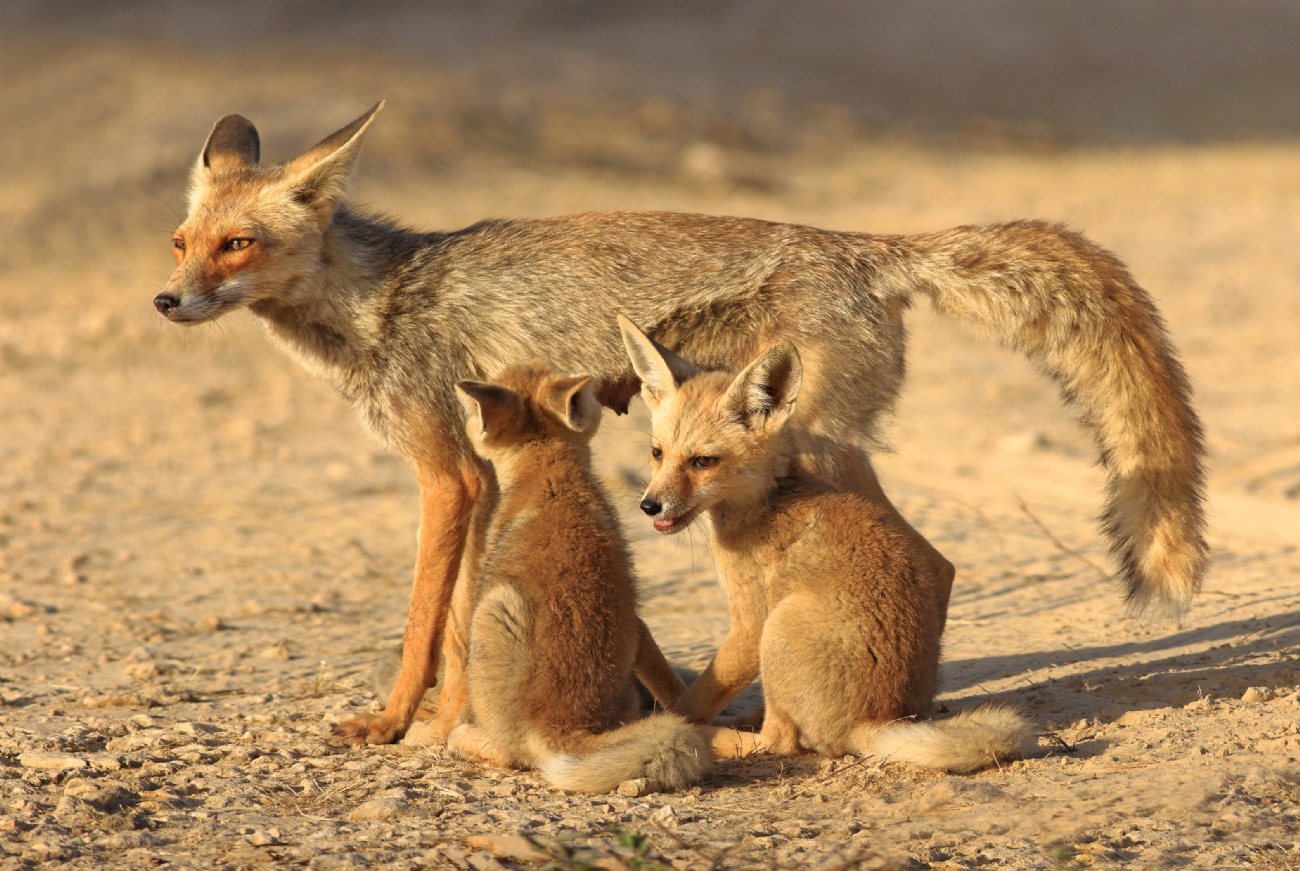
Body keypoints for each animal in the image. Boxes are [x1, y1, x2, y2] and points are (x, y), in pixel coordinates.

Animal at [154, 100, 1206, 743]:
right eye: (180, 242)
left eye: (237, 244)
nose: (167, 301)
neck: (379, 306)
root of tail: (864, 248)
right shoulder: (481, 471)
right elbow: (467, 616)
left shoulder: (448, 472)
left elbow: (426, 622)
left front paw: (402, 721)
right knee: (932, 557)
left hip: (810, 454)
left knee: (930, 558)